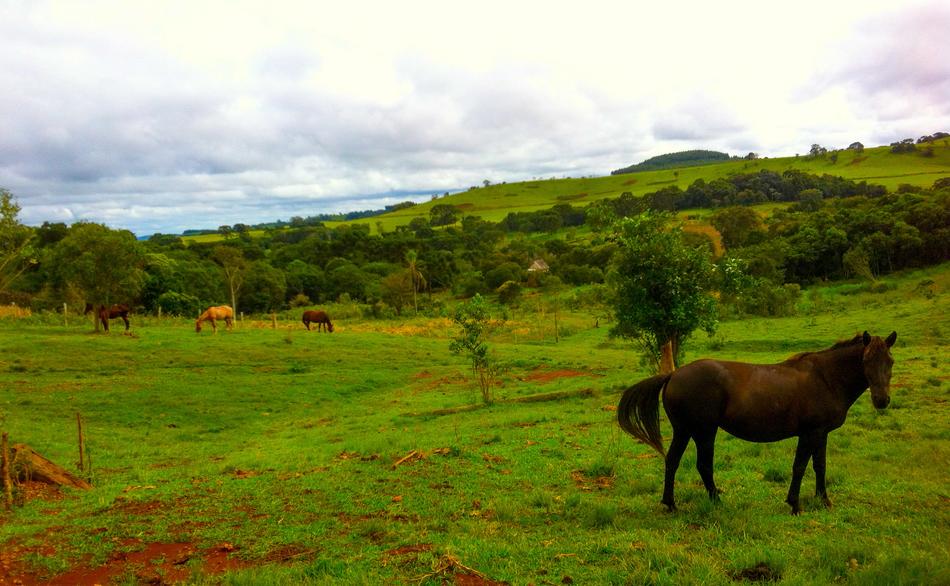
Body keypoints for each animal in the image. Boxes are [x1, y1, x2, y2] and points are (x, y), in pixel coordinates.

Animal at [617, 331, 897, 515]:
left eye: (890, 361)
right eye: (866, 360)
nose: (882, 400)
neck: (825, 378)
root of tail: (673, 374)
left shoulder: (821, 434)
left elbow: (820, 466)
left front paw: (824, 500)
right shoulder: (810, 433)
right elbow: (800, 467)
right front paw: (795, 504)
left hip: (685, 431)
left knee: (672, 461)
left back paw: (671, 503)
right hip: (704, 431)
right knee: (703, 465)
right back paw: (715, 502)